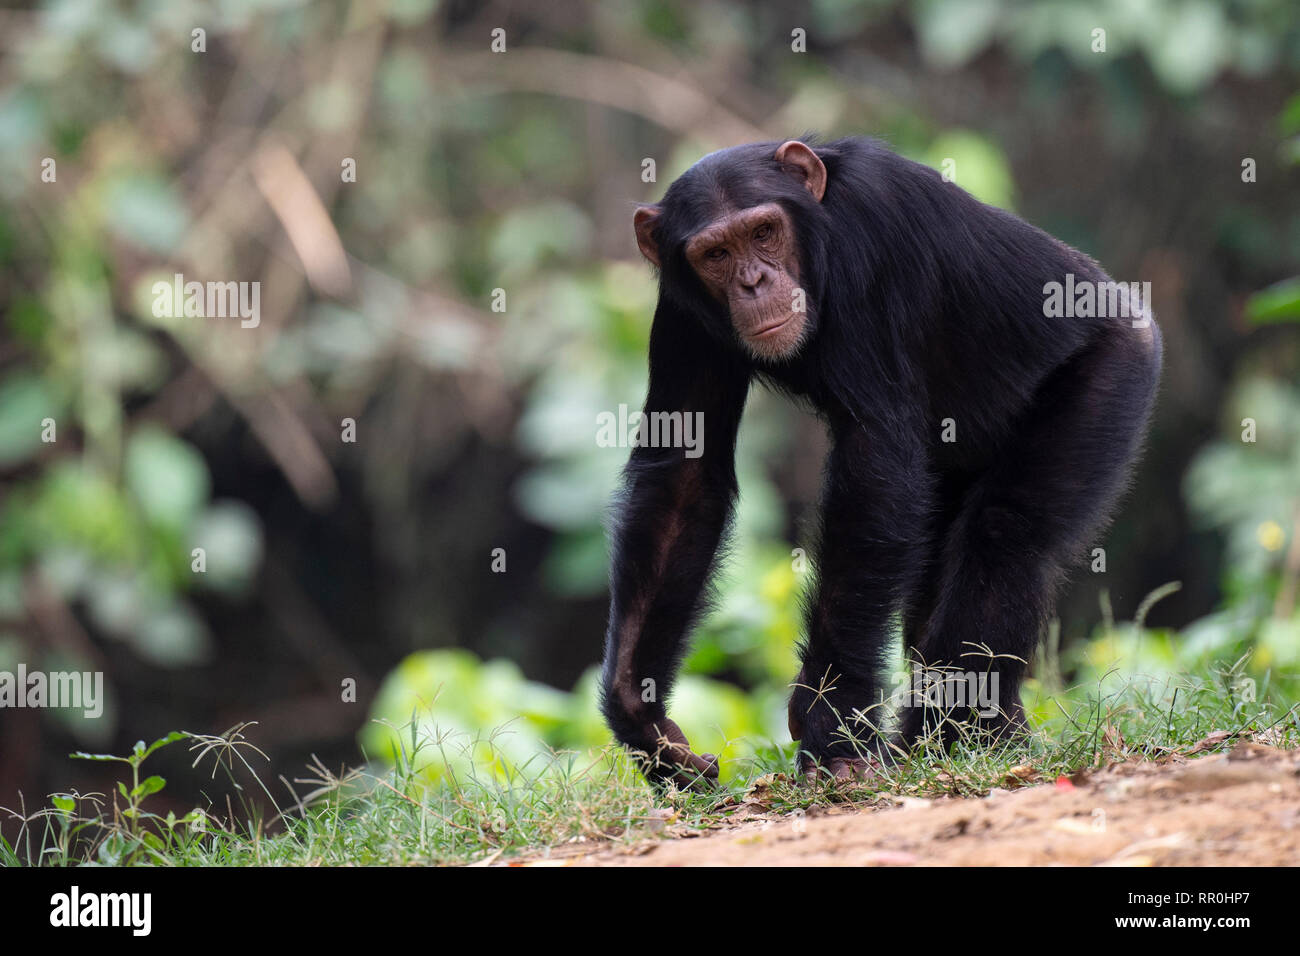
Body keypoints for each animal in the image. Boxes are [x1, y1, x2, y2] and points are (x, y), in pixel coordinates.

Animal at [595, 138, 1159, 790]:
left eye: (763, 232)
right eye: (715, 254)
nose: (754, 280)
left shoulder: (874, 231)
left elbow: (875, 462)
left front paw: (829, 719)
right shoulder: (681, 310)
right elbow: (684, 472)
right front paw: (645, 722)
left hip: (1113, 373)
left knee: (1006, 537)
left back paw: (947, 740)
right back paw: (994, 737)